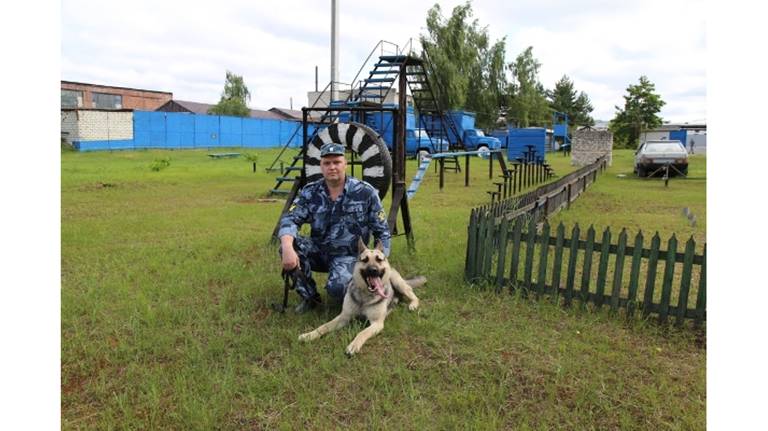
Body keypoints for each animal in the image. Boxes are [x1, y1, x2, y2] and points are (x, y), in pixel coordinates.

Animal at [296, 238, 426, 356]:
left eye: (379, 259)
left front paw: (354, 345)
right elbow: (324, 326)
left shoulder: (376, 323)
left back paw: (413, 304)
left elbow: (362, 333)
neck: (365, 296)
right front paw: (309, 335)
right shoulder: (344, 317)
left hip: (397, 282)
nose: (373, 270)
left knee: (411, 293)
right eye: (365, 260)